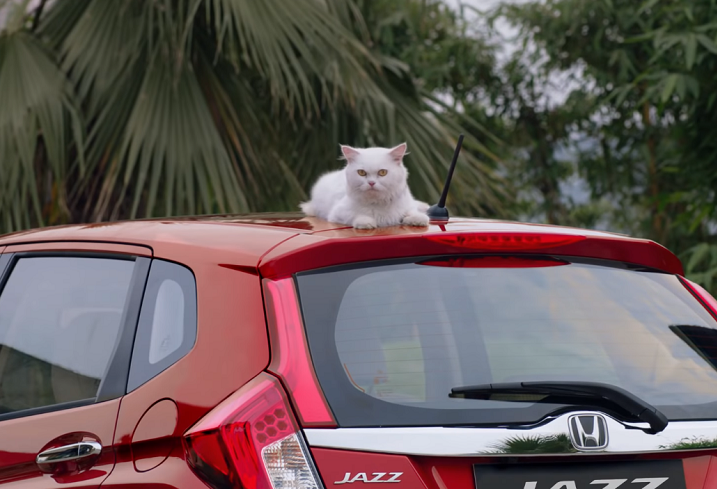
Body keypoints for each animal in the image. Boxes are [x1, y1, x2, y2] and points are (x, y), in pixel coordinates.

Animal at [300, 143, 430, 229]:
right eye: (361, 173)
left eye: (382, 172)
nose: (371, 183)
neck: (378, 203)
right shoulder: (337, 213)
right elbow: (357, 216)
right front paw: (367, 223)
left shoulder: (408, 206)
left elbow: (413, 214)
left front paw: (418, 220)